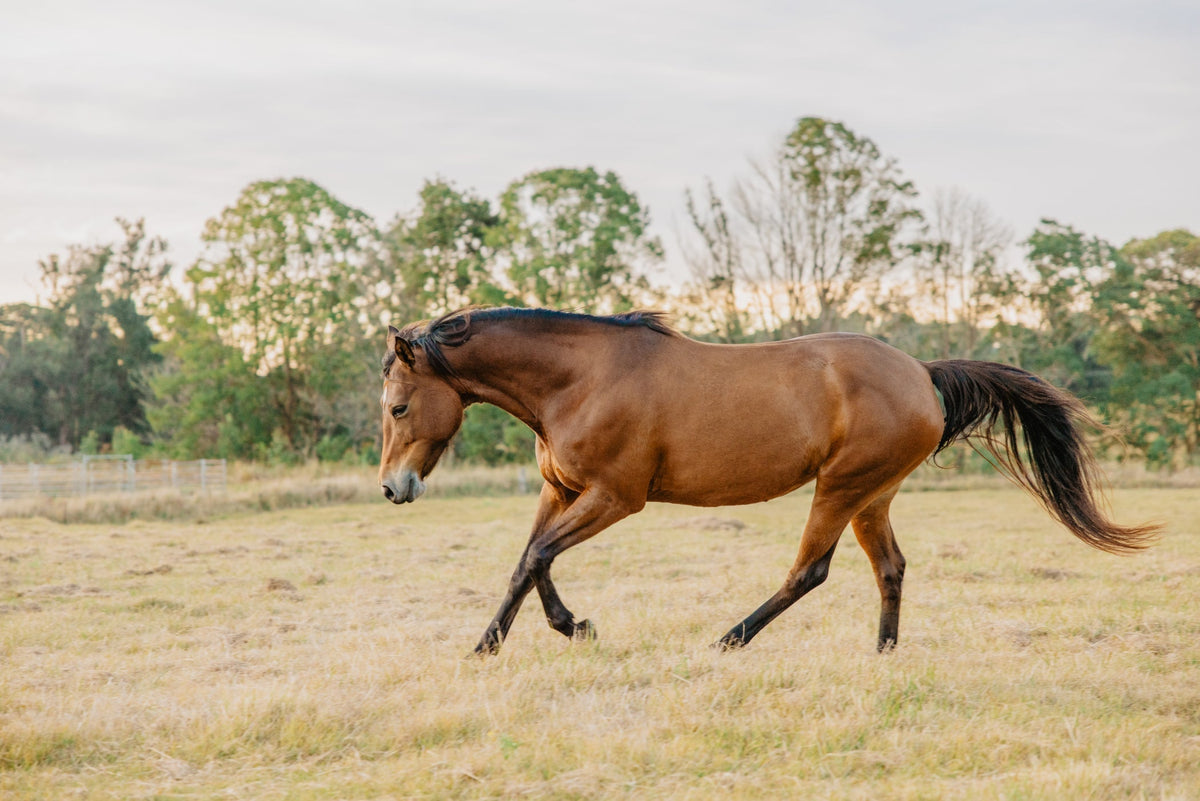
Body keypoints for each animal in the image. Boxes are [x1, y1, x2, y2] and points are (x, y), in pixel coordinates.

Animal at [377, 307, 1157, 655]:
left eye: (398, 407)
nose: (392, 489)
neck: (581, 380)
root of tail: (923, 374)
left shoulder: (615, 498)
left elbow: (538, 556)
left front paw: (557, 630)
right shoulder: (562, 491)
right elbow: (527, 560)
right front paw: (511, 638)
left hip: (840, 488)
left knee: (809, 570)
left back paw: (731, 638)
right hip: (873, 495)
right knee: (892, 568)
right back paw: (883, 655)